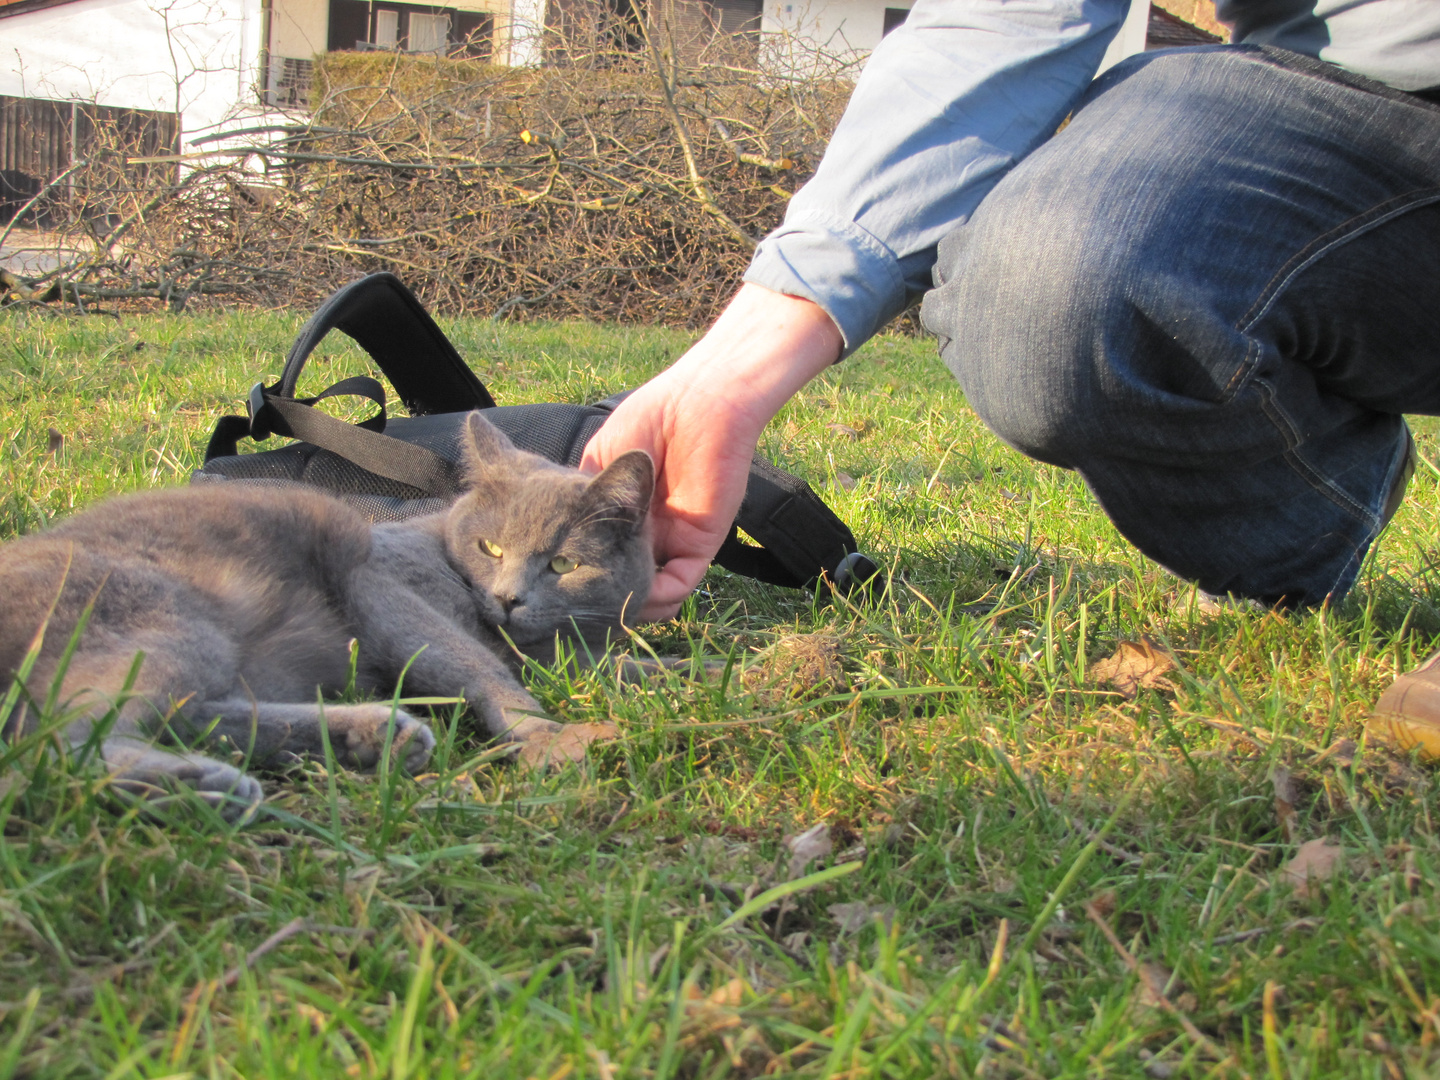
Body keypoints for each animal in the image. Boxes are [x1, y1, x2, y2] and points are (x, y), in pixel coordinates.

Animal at [0, 411, 653, 812]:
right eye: (490, 548)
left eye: (563, 565)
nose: (508, 598)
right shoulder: (379, 583)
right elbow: (473, 661)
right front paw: (542, 731)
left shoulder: (567, 651)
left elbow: (622, 667)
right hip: (162, 618)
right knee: (57, 743)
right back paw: (201, 789)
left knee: (192, 716)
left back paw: (371, 736)